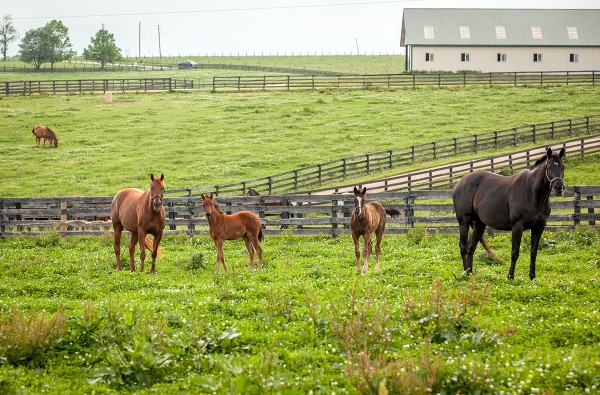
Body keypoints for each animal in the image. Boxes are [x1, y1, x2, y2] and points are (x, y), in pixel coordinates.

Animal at [452, 147, 564, 280]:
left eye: (563, 167)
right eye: (549, 167)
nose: (559, 188)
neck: (532, 192)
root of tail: (459, 183)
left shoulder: (539, 226)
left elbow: (533, 251)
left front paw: (532, 276)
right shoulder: (517, 227)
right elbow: (515, 252)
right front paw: (510, 276)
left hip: (479, 224)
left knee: (471, 247)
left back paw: (470, 273)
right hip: (464, 221)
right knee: (463, 246)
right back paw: (465, 273)